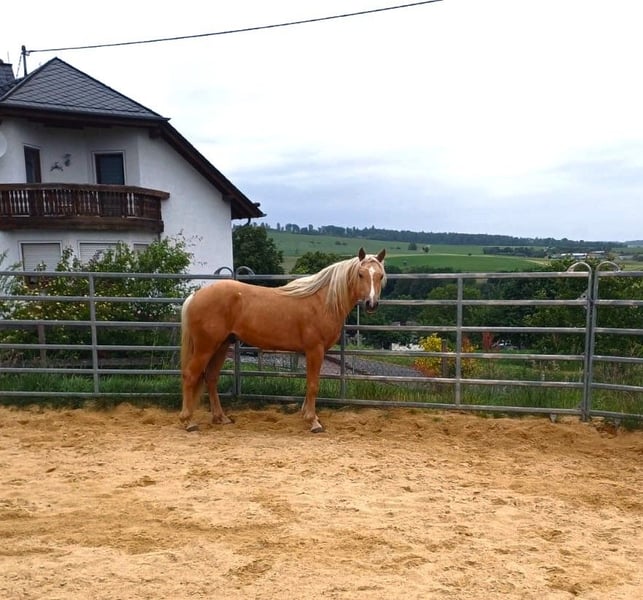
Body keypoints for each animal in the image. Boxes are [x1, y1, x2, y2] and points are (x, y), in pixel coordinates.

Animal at [179, 247, 386, 433]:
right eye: (360, 274)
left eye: (380, 276)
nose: (371, 304)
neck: (322, 301)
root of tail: (195, 295)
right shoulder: (315, 350)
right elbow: (313, 385)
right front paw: (313, 422)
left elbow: (310, 383)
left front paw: (307, 415)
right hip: (205, 347)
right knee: (190, 375)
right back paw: (188, 421)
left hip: (221, 345)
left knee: (211, 378)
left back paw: (221, 418)